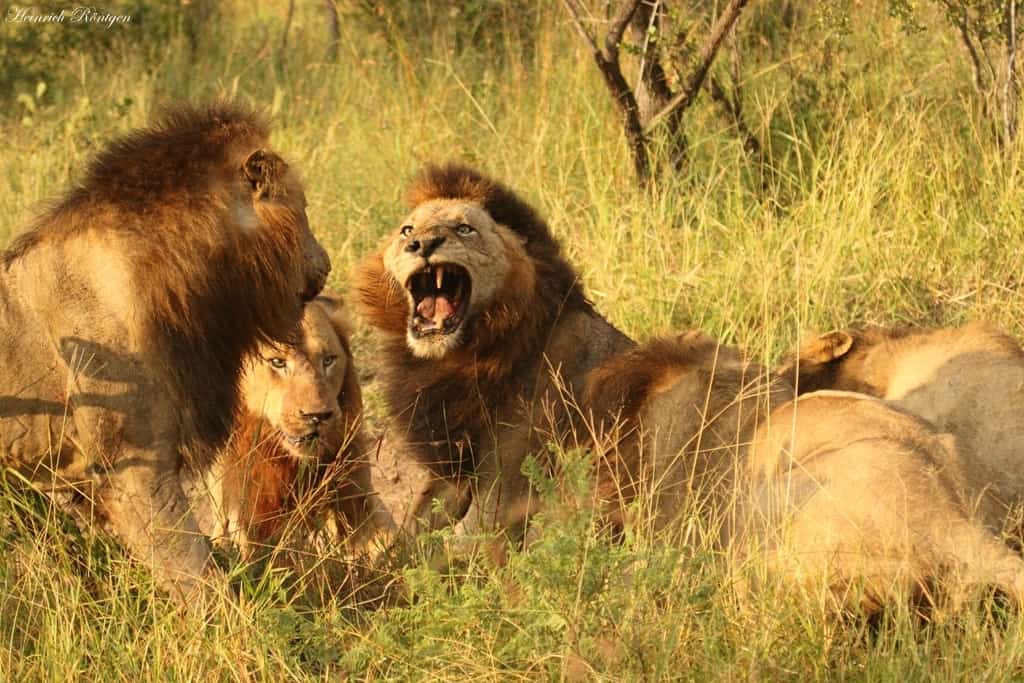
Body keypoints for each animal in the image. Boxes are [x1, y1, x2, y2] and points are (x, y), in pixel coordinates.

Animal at [353, 163, 634, 545]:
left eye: (464, 228)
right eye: (407, 230)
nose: (421, 244)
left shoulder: (505, 488)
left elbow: (455, 548)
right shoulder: (450, 474)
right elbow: (410, 540)